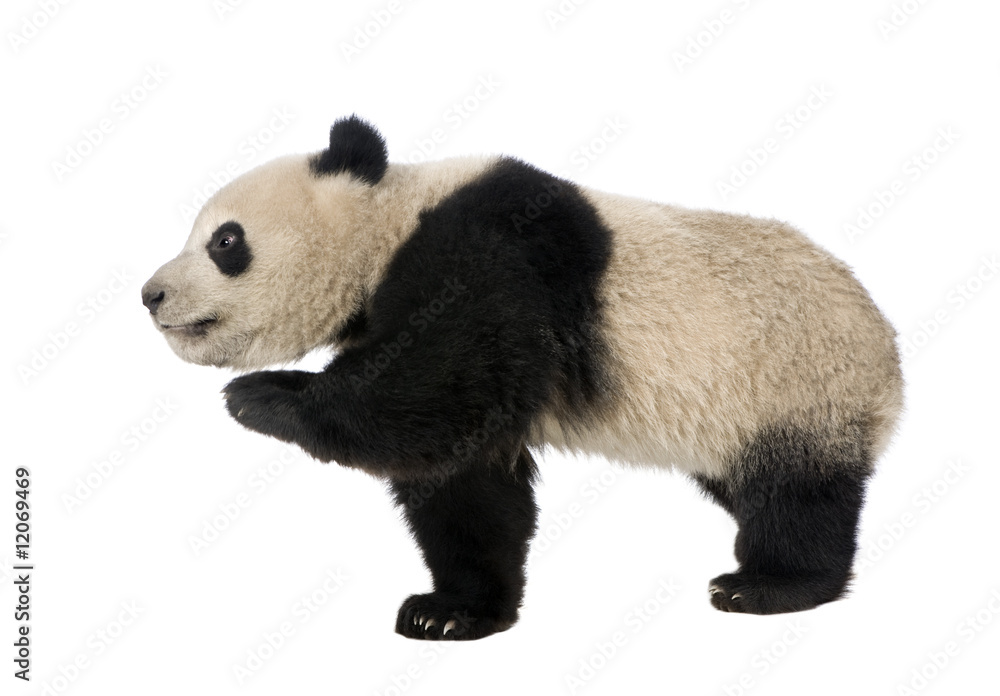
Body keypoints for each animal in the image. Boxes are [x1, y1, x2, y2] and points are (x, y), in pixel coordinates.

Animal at [142, 115, 903, 641]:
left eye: (225, 241)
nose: (151, 295)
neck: (390, 223)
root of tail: (888, 354)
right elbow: (465, 479)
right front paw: (450, 612)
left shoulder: (491, 261)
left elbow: (429, 402)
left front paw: (263, 394)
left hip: (791, 383)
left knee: (797, 498)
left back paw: (767, 585)